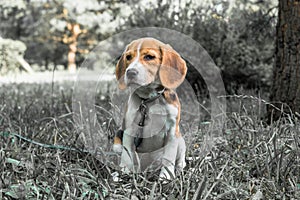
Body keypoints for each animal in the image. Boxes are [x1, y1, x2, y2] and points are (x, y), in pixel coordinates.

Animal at [113, 37, 186, 180]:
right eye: (128, 57)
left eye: (149, 57)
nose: (130, 72)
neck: (150, 99)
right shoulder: (129, 131)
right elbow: (127, 156)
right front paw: (123, 174)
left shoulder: (172, 131)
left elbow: (169, 158)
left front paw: (166, 178)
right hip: (118, 140)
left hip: (180, 141)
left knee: (181, 161)